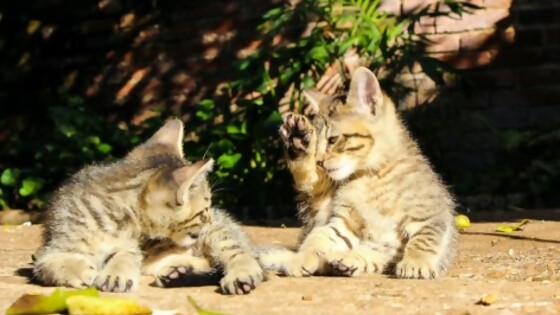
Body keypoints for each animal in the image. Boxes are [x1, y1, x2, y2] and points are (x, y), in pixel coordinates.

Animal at [33, 119, 264, 296]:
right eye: (203, 210)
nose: (209, 219)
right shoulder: (52, 249)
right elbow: (52, 263)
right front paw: (79, 269)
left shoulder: (130, 247)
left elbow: (124, 256)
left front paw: (116, 273)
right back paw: (178, 272)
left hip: (222, 235)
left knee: (243, 256)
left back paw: (240, 275)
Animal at [260, 66, 458, 278]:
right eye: (319, 145)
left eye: (332, 140)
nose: (319, 161)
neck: (370, 177)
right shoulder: (344, 222)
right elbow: (321, 238)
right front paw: (303, 258)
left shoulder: (429, 213)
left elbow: (425, 239)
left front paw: (417, 262)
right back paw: (298, 142)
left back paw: (346, 261)